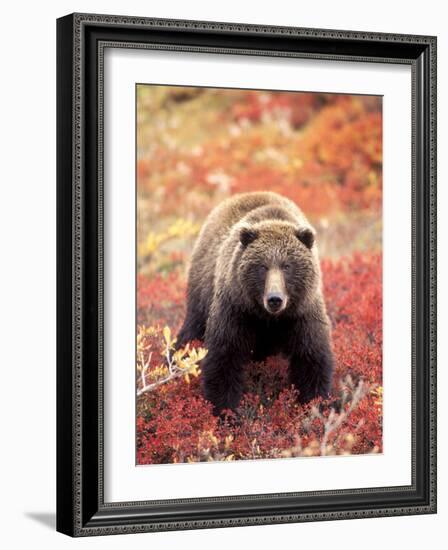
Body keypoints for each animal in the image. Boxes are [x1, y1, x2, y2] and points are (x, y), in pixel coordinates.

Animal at [175, 192, 332, 416]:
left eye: (287, 266)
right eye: (262, 266)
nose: (275, 299)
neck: (268, 318)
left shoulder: (302, 313)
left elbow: (311, 359)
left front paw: (315, 406)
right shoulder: (236, 309)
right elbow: (224, 357)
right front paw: (226, 411)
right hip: (202, 289)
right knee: (192, 329)